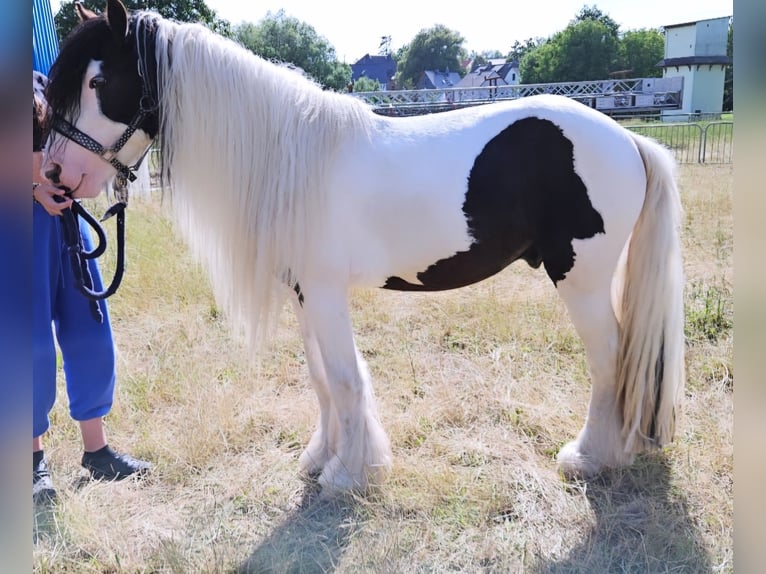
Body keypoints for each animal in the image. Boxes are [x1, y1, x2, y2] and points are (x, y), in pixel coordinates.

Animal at [45, 0, 688, 496]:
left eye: (98, 82)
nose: (55, 174)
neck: (292, 158)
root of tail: (628, 138)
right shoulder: (304, 293)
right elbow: (322, 379)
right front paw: (319, 458)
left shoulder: (327, 292)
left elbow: (346, 377)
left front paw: (349, 474)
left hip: (581, 280)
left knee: (612, 362)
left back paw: (591, 458)